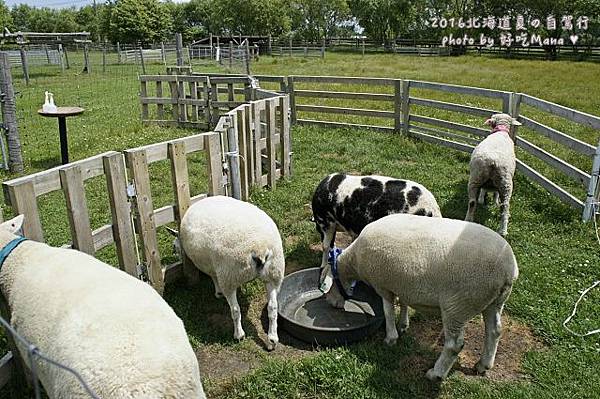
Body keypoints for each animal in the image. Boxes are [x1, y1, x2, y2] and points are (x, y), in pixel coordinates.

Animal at [326, 214, 516, 382]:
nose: (330, 303)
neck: (354, 260)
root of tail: (508, 271)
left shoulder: (382, 285)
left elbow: (388, 311)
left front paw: (390, 337)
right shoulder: (401, 282)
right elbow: (403, 303)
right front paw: (403, 325)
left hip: (458, 305)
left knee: (454, 344)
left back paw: (436, 373)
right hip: (494, 302)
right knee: (494, 331)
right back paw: (483, 364)